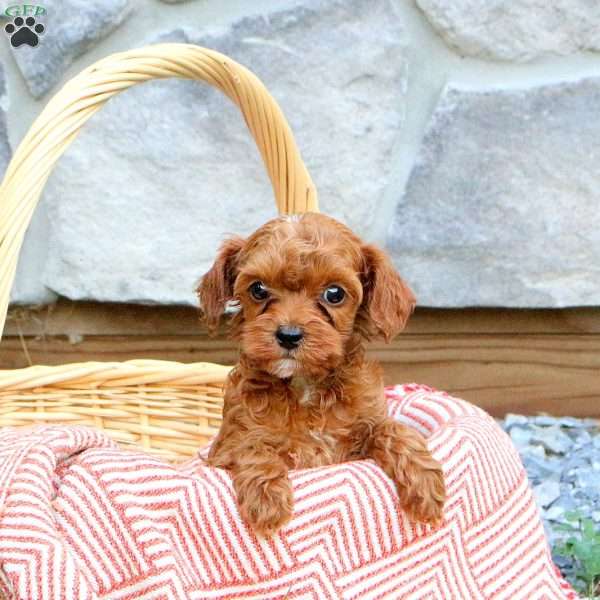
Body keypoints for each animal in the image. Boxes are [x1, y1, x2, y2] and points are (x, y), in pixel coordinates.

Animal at [198, 213, 446, 536]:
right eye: (258, 289)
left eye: (334, 293)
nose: (289, 335)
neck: (305, 384)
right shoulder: (228, 445)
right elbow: (251, 444)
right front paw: (267, 501)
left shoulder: (364, 428)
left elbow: (391, 429)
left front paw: (425, 483)